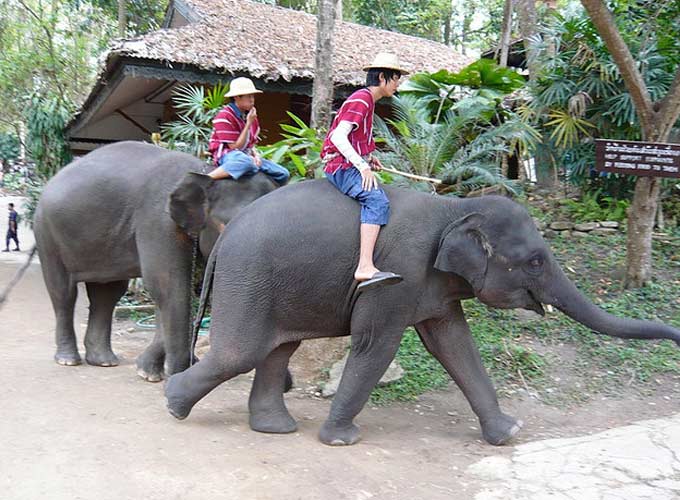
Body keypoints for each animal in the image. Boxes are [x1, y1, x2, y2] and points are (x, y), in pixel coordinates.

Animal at [34, 141, 280, 382]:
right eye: (225, 226)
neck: (206, 172)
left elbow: (168, 294)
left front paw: (149, 372)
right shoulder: (158, 221)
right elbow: (168, 287)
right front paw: (174, 374)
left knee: (107, 294)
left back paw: (103, 360)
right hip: (47, 234)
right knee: (63, 292)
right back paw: (68, 359)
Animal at [164, 180, 680, 446]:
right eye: (535, 261)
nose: (676, 337)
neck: (456, 207)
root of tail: (226, 236)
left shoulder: (436, 285)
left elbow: (453, 344)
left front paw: (509, 432)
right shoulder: (398, 273)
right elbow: (377, 345)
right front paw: (341, 440)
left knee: (276, 350)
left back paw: (275, 428)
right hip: (249, 279)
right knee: (241, 352)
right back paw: (173, 403)